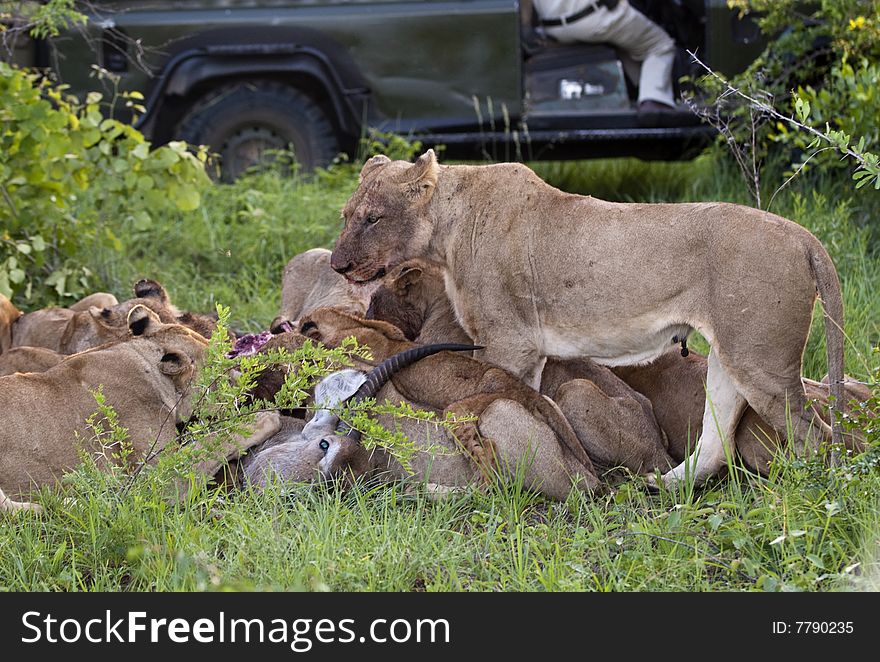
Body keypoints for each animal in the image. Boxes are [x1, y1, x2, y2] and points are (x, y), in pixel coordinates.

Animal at [332, 153, 844, 490]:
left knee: (816, 437)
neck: (447, 228)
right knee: (717, 442)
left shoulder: (509, 342)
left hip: (762, 363)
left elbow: (503, 396)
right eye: (346, 215)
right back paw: (659, 488)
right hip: (730, 358)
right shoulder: (525, 349)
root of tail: (804, 237)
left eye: (373, 218)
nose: (337, 265)